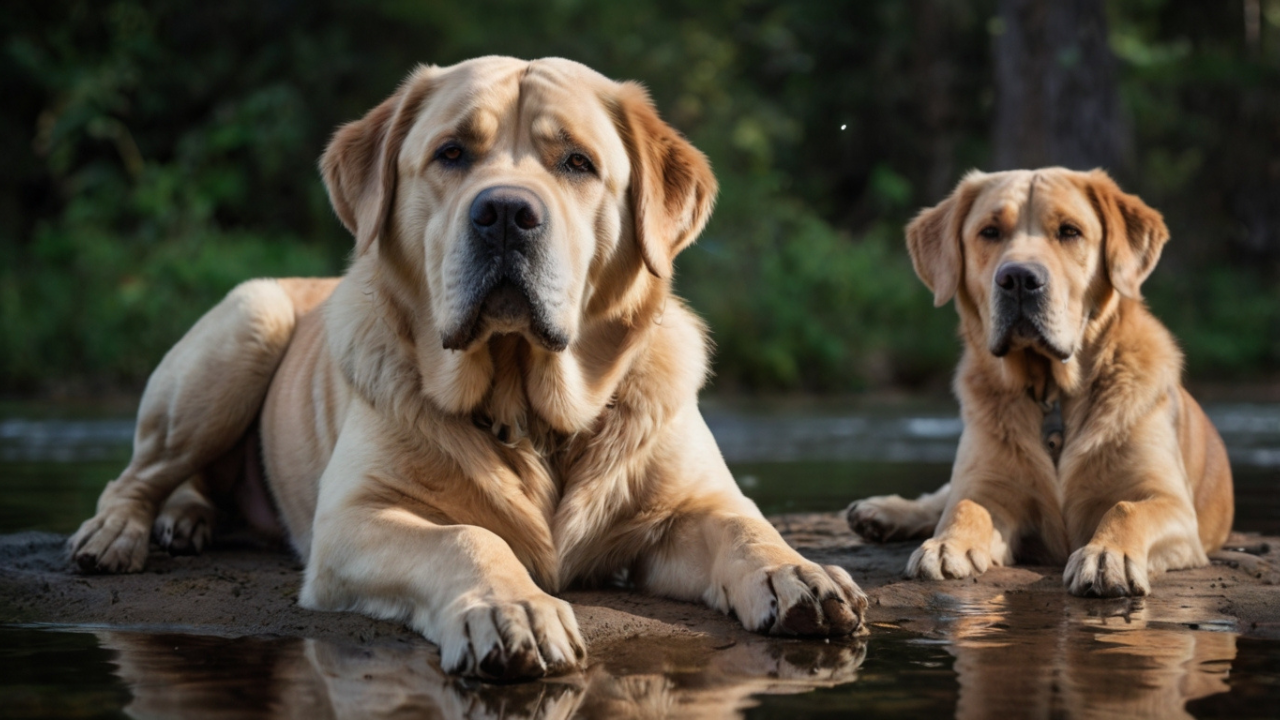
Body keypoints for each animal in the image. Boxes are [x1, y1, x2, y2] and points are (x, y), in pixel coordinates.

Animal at [72, 57, 870, 676]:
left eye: (578, 162)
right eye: (452, 153)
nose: (507, 214)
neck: (529, 406)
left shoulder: (686, 508)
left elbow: (743, 526)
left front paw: (798, 572)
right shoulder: (354, 519)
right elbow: (467, 538)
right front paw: (513, 610)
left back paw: (188, 519)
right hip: (245, 326)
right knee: (136, 476)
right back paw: (121, 534)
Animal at [844, 166, 1233, 594]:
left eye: (1069, 231)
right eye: (989, 231)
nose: (1017, 277)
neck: (1053, 392)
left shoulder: (1171, 503)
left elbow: (1126, 508)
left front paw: (1106, 555)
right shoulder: (988, 485)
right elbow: (965, 506)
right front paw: (946, 545)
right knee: (941, 497)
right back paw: (881, 510)